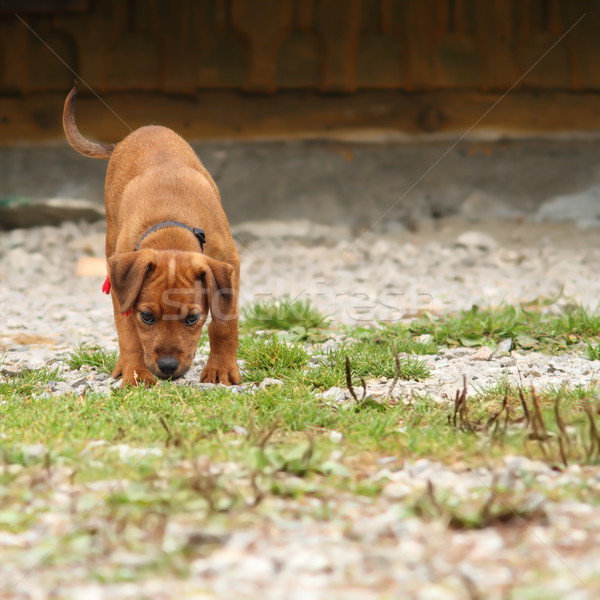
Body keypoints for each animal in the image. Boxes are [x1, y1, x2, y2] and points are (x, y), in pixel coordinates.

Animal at [63, 83, 241, 384]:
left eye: (192, 319)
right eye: (146, 316)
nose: (168, 368)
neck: (170, 228)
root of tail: (140, 131)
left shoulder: (229, 267)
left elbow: (224, 324)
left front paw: (221, 369)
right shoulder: (123, 290)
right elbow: (128, 332)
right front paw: (135, 372)